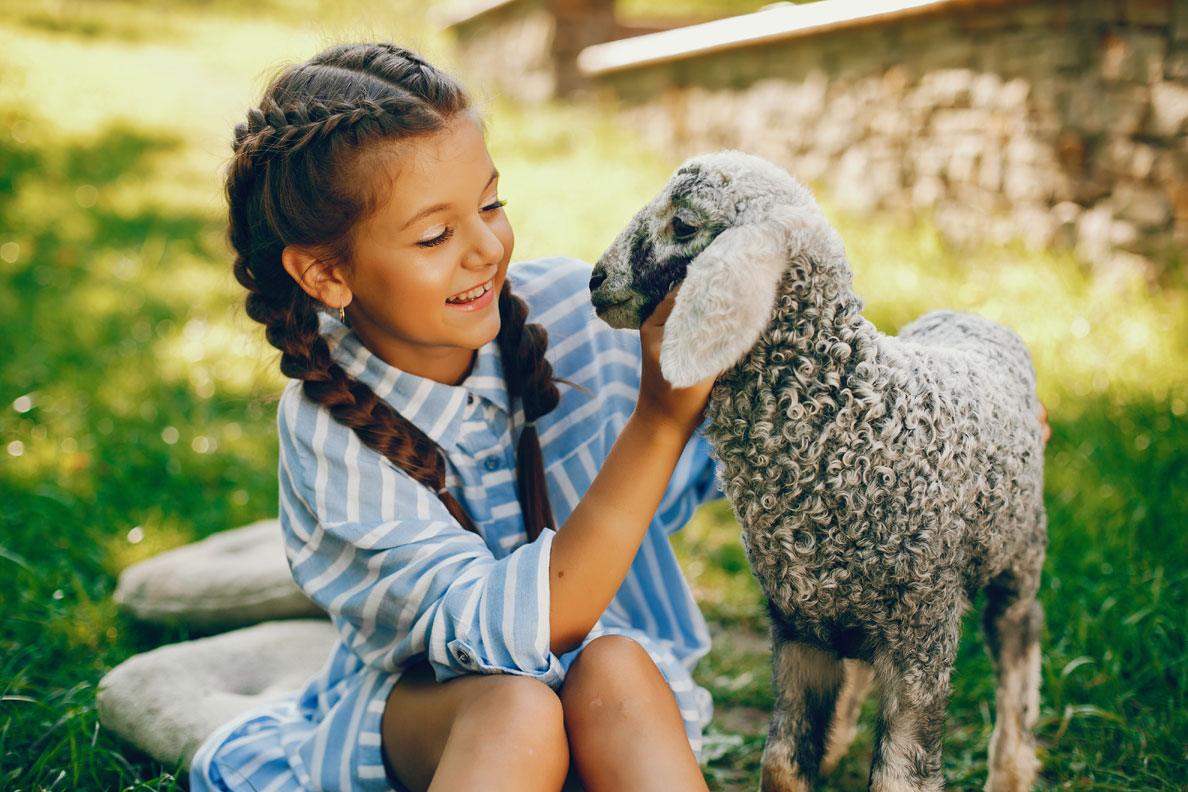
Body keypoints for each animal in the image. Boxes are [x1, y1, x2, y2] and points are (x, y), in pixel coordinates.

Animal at [589, 153, 1045, 792]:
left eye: (682, 225)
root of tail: (970, 315)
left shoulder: (923, 640)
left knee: (1018, 662)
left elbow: (900, 777)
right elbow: (783, 763)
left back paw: (1010, 770)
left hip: (1019, 559)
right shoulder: (799, 626)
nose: (595, 281)